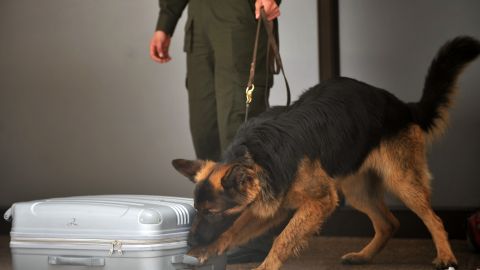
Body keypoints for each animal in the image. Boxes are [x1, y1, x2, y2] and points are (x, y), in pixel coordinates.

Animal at [171, 36, 478, 270]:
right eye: (196, 210)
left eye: (212, 213)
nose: (189, 242)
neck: (259, 155)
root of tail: (403, 105)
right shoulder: (270, 207)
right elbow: (234, 230)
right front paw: (207, 250)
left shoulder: (319, 202)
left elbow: (282, 239)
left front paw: (264, 266)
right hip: (357, 190)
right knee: (389, 223)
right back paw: (364, 256)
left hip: (402, 182)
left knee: (434, 219)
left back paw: (446, 256)